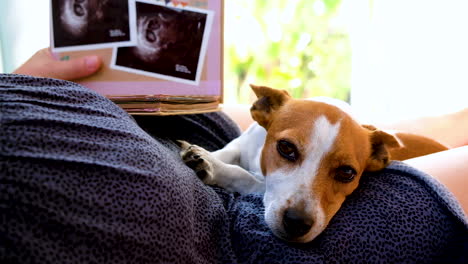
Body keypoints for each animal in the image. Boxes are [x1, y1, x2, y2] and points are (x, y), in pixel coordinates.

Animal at [178, 85, 446, 243]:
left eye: (347, 173)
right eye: (286, 148)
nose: (297, 223)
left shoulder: (261, 186)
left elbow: (245, 176)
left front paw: (213, 166)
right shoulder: (242, 144)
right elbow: (227, 151)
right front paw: (207, 155)